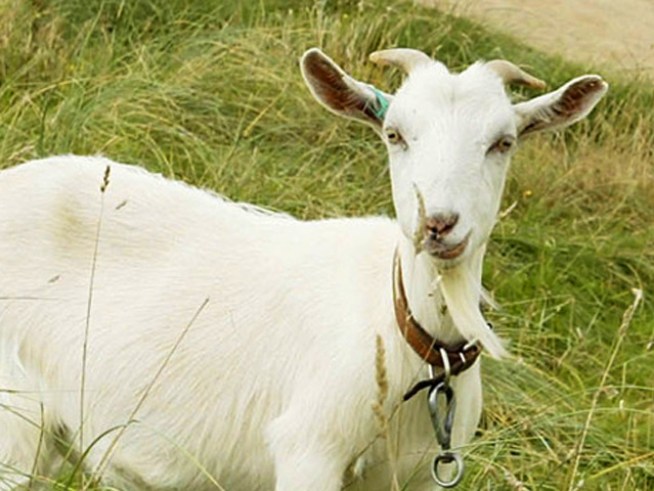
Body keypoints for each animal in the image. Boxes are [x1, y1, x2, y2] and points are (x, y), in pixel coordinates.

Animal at [0, 48, 607, 490]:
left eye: (503, 142)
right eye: (394, 135)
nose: (438, 223)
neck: (407, 330)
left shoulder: (420, 475)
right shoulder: (309, 450)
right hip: (15, 420)